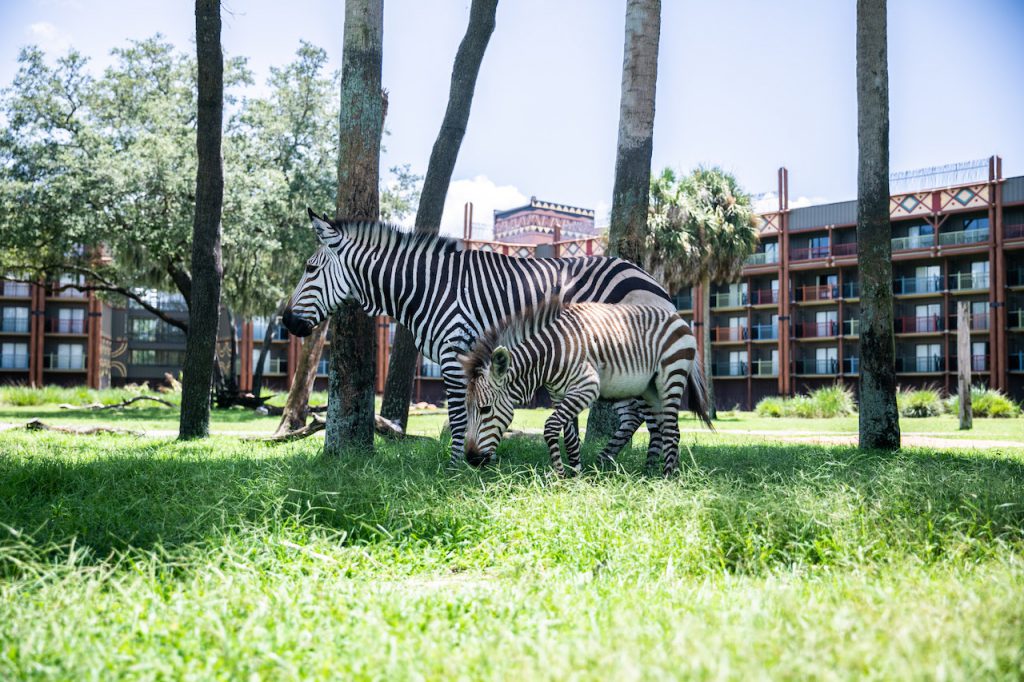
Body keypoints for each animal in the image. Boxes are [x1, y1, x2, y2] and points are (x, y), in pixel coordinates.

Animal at [282, 206, 688, 462]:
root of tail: (652, 279)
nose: (286, 322)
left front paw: (455, 469)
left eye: (310, 268)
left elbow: (460, 415)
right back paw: (624, 468)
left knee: (649, 416)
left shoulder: (455, 352)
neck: (429, 286)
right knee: (641, 416)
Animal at [462, 296, 712, 473]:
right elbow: (571, 438)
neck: (552, 353)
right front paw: (576, 476)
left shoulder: (586, 388)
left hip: (671, 377)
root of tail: (678, 317)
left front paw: (560, 476)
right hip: (650, 390)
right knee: (666, 429)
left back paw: (668, 477)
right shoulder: (559, 395)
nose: (471, 459)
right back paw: (660, 475)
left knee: (671, 430)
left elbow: (550, 426)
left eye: (485, 409)